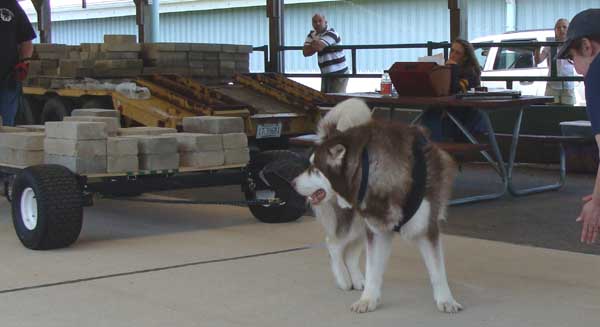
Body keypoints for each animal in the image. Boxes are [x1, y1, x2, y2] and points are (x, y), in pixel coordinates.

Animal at [292, 98, 462, 314]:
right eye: (310, 165)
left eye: (315, 169)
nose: (292, 183)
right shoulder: (377, 229)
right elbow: (373, 269)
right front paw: (368, 299)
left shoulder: (426, 228)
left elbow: (438, 271)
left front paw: (446, 300)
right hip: (354, 221)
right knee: (334, 244)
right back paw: (343, 278)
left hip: (361, 223)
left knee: (349, 252)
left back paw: (356, 279)